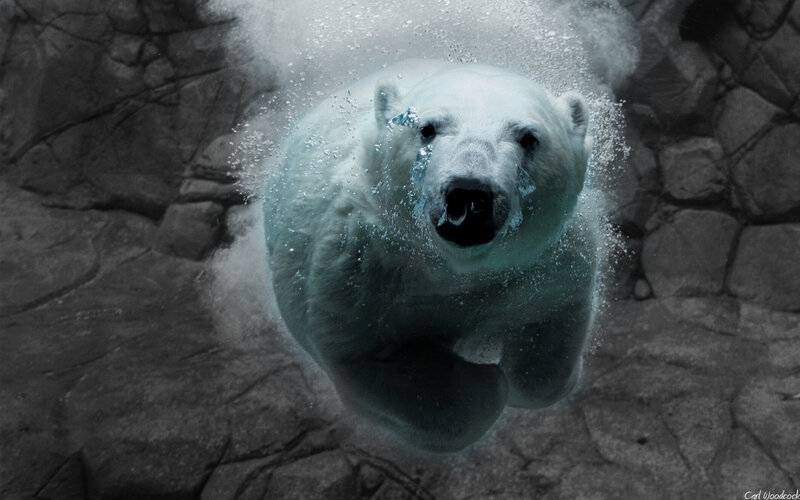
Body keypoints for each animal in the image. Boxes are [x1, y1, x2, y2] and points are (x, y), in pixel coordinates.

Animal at [263, 60, 597, 452]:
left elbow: (551, 323)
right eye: (427, 128)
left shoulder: (546, 261)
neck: (455, 268)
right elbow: (372, 360)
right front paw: (483, 383)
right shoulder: (358, 268)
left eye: (529, 137)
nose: (470, 193)